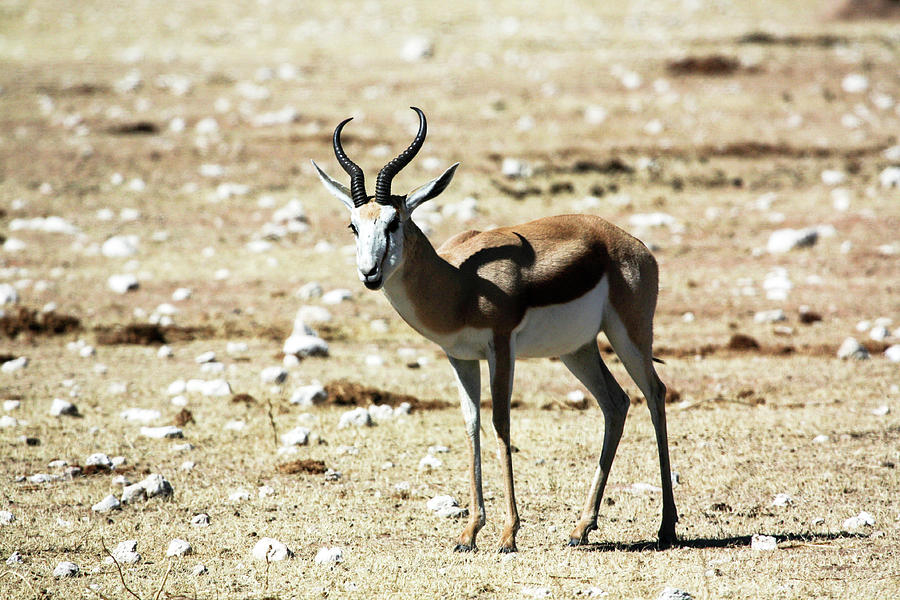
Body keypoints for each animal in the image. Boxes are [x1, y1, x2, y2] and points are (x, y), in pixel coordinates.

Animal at [312, 108, 680, 552]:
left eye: (394, 222)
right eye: (353, 226)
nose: (369, 274)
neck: (459, 285)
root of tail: (631, 243)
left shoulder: (501, 348)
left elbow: (501, 423)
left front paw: (508, 534)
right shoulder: (459, 357)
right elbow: (471, 425)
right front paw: (469, 533)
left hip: (629, 334)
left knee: (655, 393)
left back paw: (666, 526)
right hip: (578, 350)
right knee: (616, 403)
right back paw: (581, 528)